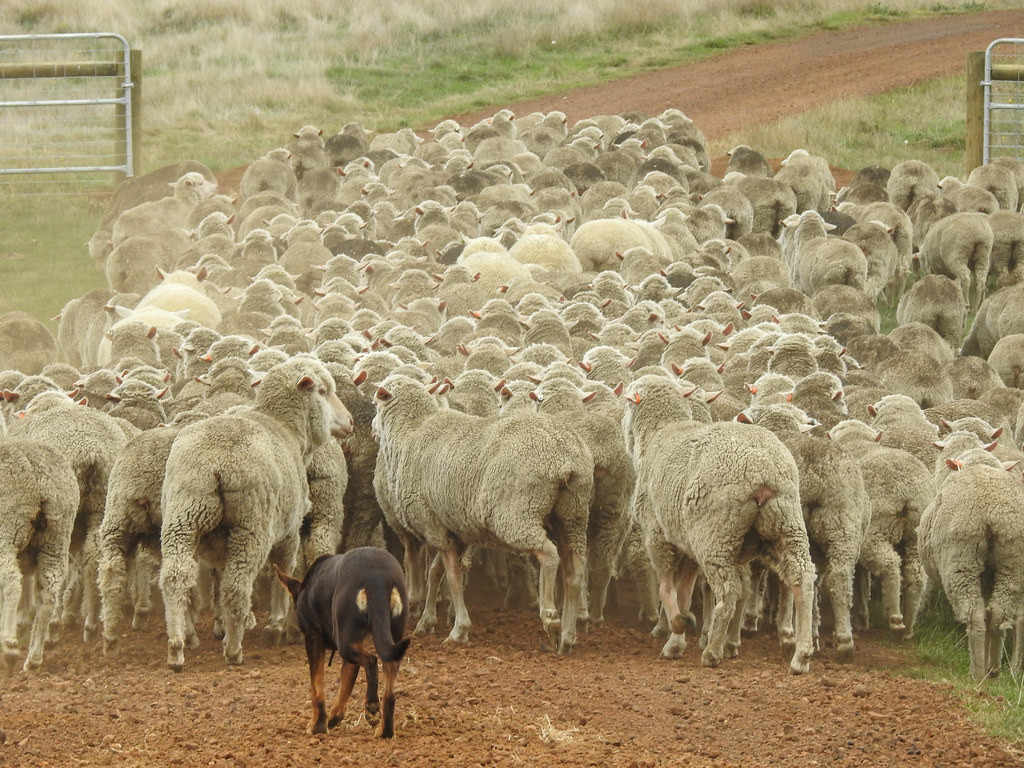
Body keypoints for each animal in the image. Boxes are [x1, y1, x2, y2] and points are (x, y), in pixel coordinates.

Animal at [0, 438, 79, 672]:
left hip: (8, 530)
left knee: (11, 582)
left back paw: (9, 646)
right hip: (56, 538)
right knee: (49, 594)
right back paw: (34, 658)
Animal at [158, 356, 354, 671]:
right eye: (323, 391)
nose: (349, 421)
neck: (285, 428)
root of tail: (215, 464)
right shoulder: (288, 530)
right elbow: (282, 571)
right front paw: (276, 623)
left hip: (183, 516)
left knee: (176, 577)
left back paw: (177, 647)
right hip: (252, 525)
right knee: (236, 585)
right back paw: (234, 651)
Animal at [371, 373, 594, 654]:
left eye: (375, 403)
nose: (372, 428)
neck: (411, 431)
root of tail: (564, 457)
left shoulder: (433, 525)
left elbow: (452, 575)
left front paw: (459, 629)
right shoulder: (455, 528)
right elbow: (436, 572)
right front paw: (426, 622)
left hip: (517, 512)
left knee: (549, 554)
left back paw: (551, 618)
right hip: (572, 513)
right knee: (575, 568)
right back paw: (567, 636)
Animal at [623, 375, 816, 673]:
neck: (662, 433)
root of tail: (764, 468)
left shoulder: (658, 536)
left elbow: (667, 588)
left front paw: (677, 629)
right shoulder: (687, 543)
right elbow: (684, 591)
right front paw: (679, 634)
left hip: (715, 536)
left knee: (729, 592)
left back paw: (713, 651)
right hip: (785, 524)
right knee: (801, 578)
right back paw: (801, 655)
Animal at [918, 449, 1024, 681]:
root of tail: (992, 514)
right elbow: (989, 614)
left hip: (960, 561)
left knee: (975, 616)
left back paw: (977, 673)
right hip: (1012, 561)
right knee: (998, 614)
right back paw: (994, 669)